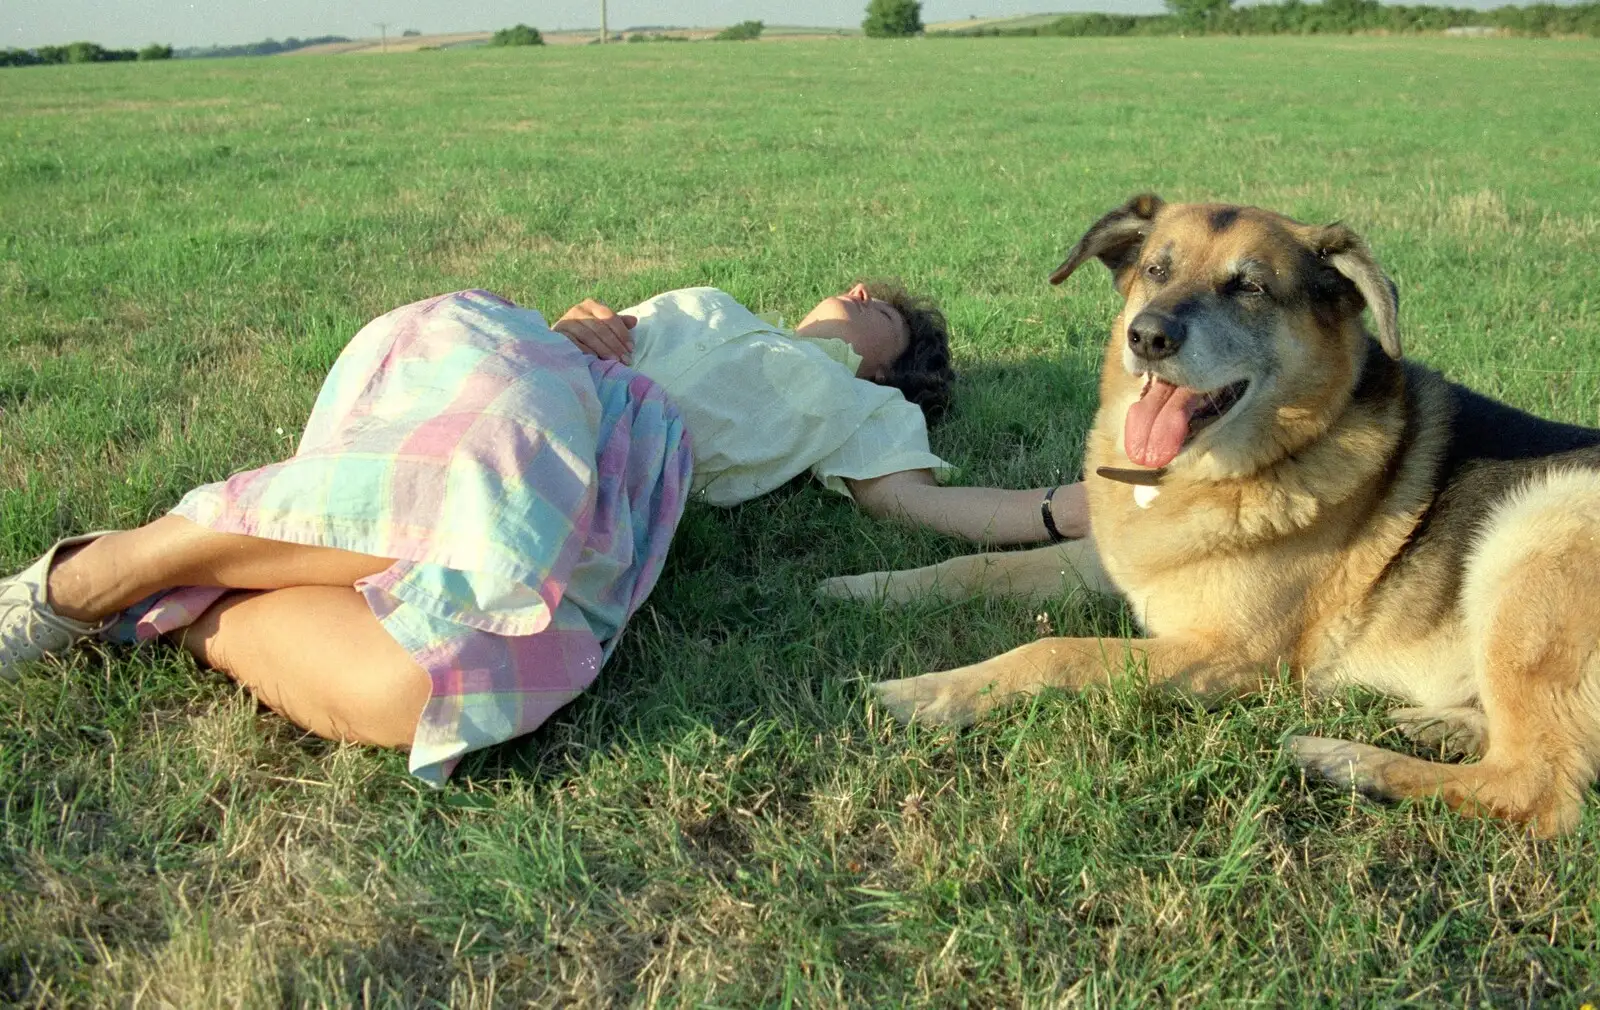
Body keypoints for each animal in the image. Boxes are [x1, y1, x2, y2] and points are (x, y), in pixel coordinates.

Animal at [825, 193, 1600, 832]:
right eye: (1155, 269)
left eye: (1250, 286)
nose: (1146, 338)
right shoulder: (1113, 562)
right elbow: (976, 564)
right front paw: (865, 587)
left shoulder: (1222, 653)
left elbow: (1056, 650)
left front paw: (926, 691)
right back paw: (1440, 727)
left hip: (1538, 522)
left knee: (1537, 790)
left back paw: (1340, 757)